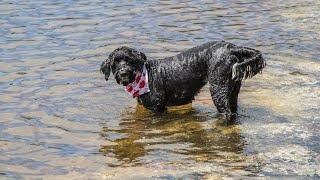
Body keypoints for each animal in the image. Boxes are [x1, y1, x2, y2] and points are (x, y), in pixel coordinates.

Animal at [101, 41, 266, 116]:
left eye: (129, 60)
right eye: (115, 62)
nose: (123, 72)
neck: (146, 74)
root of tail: (231, 47)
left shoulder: (158, 107)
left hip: (218, 88)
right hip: (233, 90)